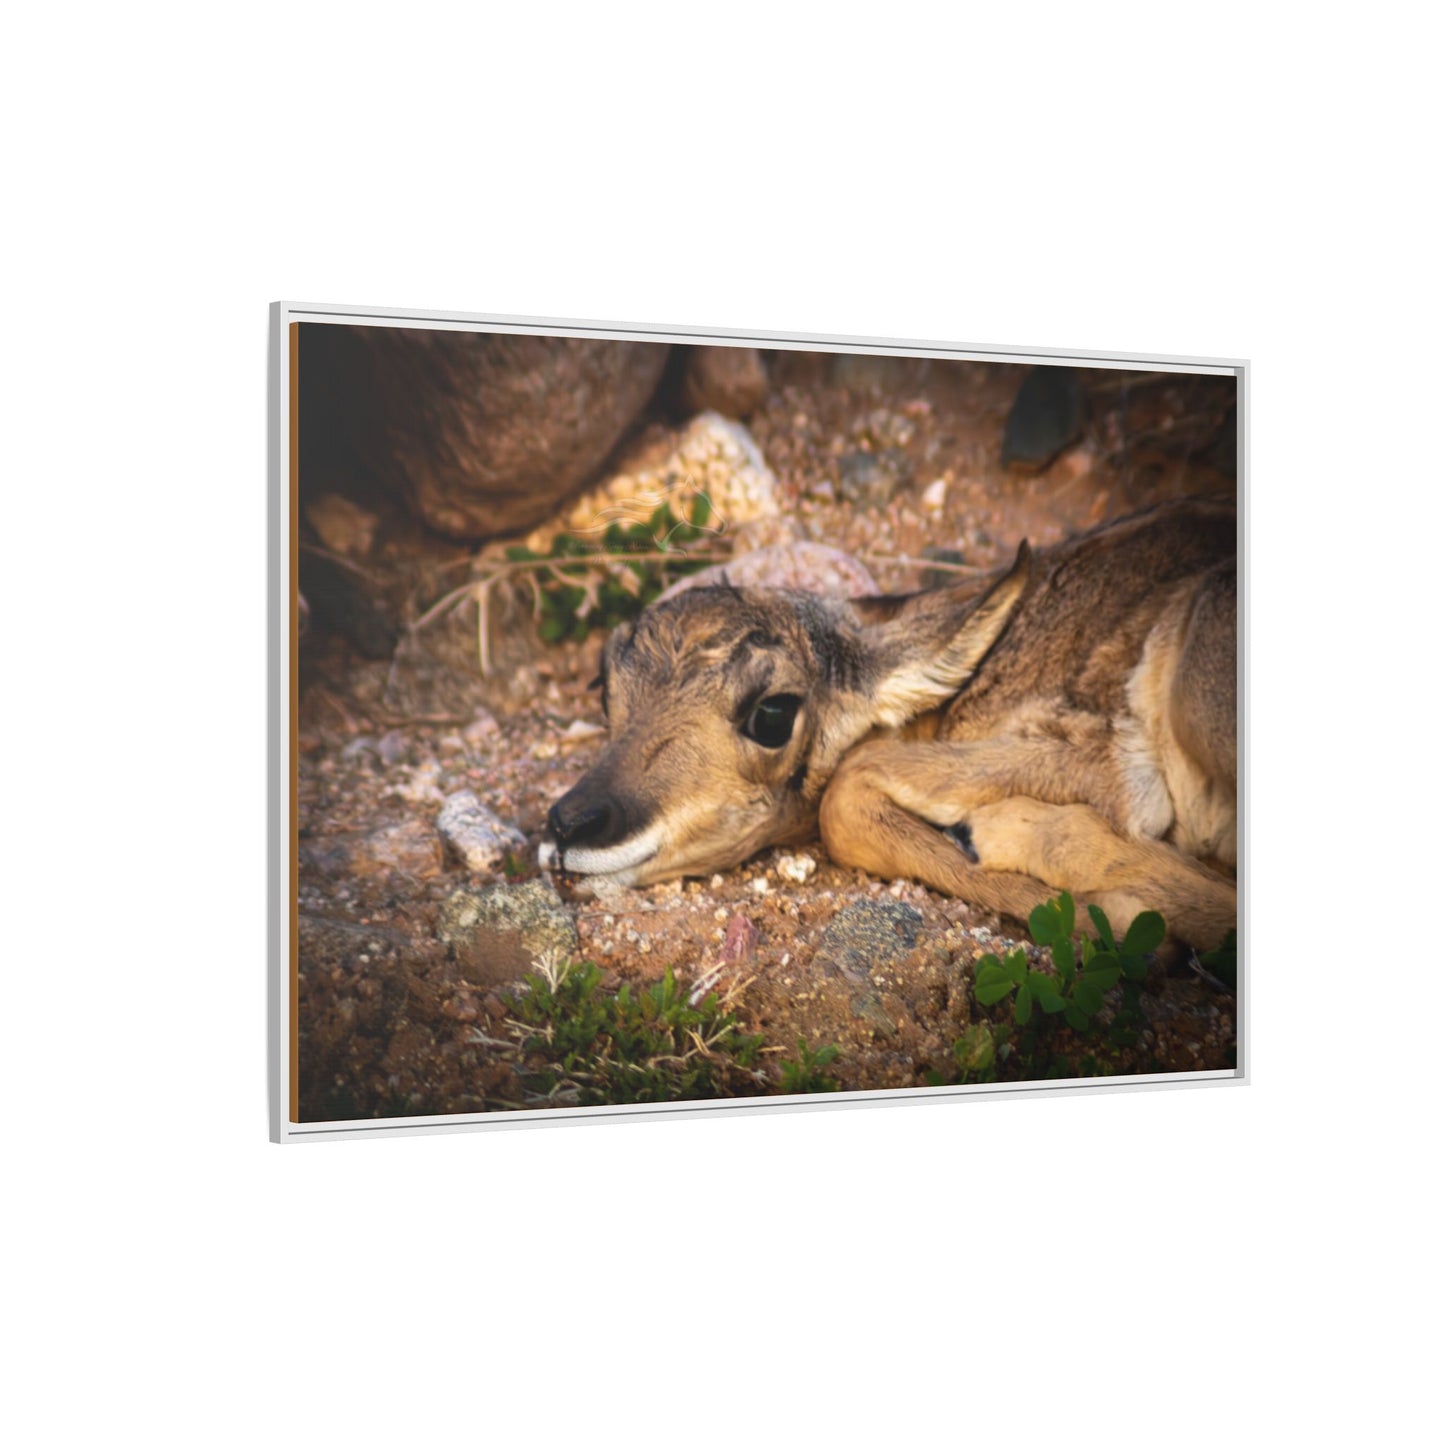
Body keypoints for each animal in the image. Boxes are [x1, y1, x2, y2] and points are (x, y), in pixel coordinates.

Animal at [538, 497, 1237, 948]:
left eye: (772, 713)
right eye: (605, 684)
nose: (570, 825)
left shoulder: (1110, 764)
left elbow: (846, 793)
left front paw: (1116, 916)